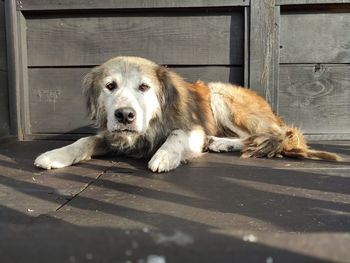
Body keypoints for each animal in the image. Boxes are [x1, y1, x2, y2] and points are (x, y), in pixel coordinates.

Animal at [33, 55, 342, 173]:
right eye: (110, 86)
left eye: (144, 87)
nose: (125, 116)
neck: (151, 123)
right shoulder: (112, 135)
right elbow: (84, 140)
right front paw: (56, 155)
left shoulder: (192, 128)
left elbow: (178, 134)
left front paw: (164, 156)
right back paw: (220, 143)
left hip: (220, 94)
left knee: (272, 135)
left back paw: (220, 142)